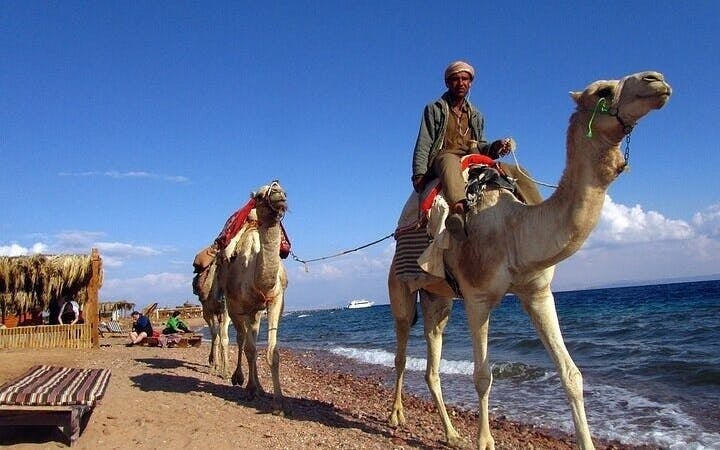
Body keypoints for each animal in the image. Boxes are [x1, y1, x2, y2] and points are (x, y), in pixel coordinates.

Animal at [213, 181, 289, 415]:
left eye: (283, 190)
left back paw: (260, 388)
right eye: (258, 196)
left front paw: (278, 403)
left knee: (252, 339)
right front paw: (249, 389)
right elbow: (248, 348)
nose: (279, 194)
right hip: (234, 308)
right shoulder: (241, 307)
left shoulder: (276, 301)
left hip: (256, 312)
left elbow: (272, 353)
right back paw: (241, 380)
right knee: (242, 340)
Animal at [387, 71, 672, 449]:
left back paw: (451, 433)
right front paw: (485, 441)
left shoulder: (537, 291)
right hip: (400, 285)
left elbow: (571, 374)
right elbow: (483, 375)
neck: (513, 228)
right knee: (401, 350)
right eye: (603, 91)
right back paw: (395, 415)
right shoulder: (478, 296)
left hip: (438, 298)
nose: (657, 80)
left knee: (432, 361)